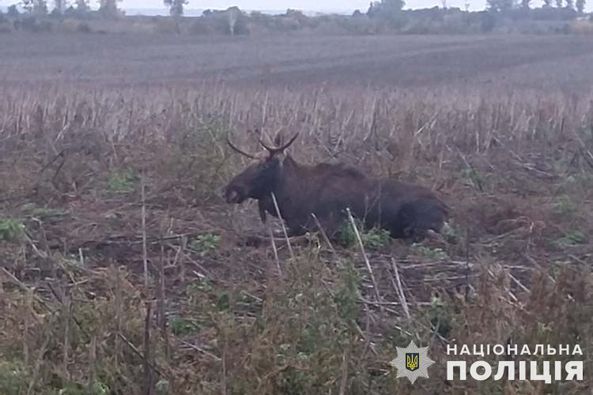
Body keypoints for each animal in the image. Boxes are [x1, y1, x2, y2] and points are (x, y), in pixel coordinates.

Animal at [222, 133, 444, 241]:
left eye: (264, 166)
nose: (229, 190)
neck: (291, 199)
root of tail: (446, 209)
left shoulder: (330, 226)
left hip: (416, 222)